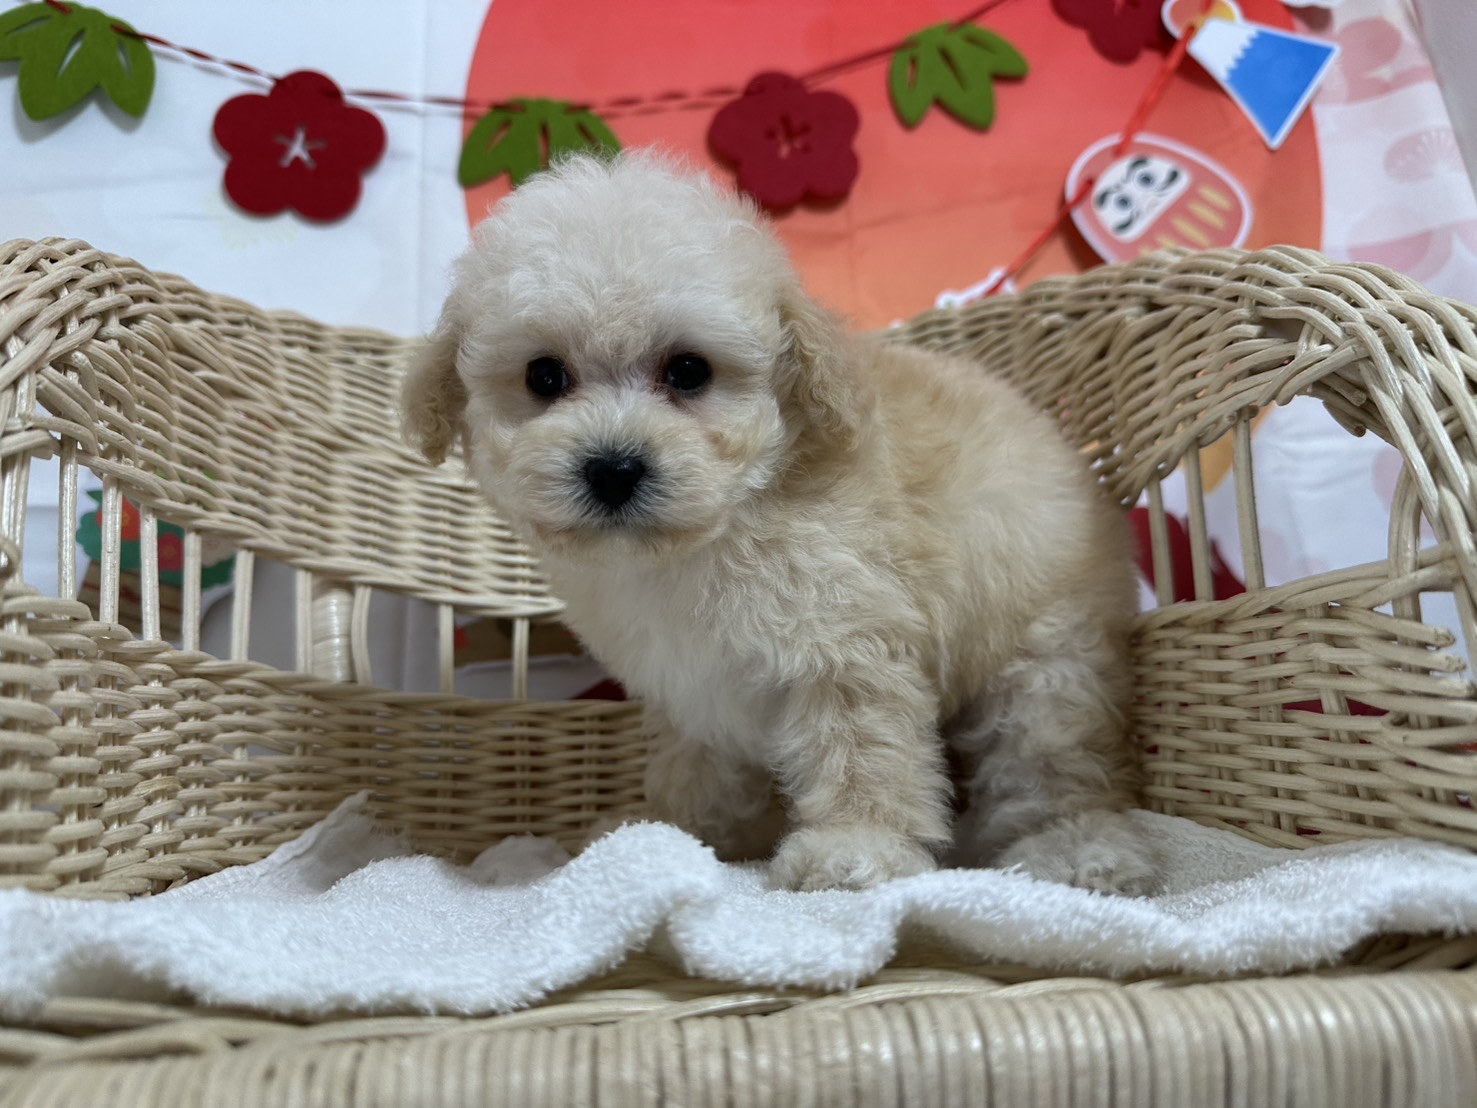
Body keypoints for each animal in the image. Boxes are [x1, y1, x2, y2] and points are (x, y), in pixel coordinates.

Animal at [401, 151, 1156, 894]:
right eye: (544, 377)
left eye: (688, 371)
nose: (613, 469)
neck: (721, 526)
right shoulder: (693, 689)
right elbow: (695, 769)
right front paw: (671, 831)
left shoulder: (846, 645)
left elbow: (861, 752)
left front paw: (854, 849)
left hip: (1049, 657)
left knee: (1055, 760)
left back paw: (1080, 848)